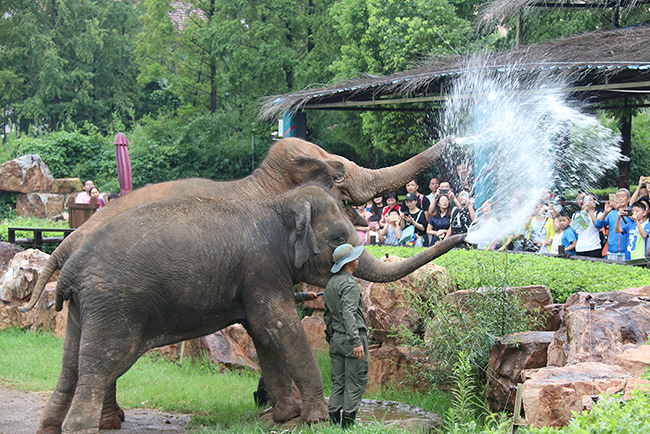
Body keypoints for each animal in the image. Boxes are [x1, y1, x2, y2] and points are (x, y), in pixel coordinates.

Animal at [36, 184, 464, 434]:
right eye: (339, 237)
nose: (462, 234)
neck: (276, 204)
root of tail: (71, 264)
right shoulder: (262, 267)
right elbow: (278, 325)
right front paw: (315, 417)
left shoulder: (256, 277)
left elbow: (262, 331)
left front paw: (286, 414)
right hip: (114, 306)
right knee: (101, 366)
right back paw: (81, 426)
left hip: (84, 310)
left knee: (71, 366)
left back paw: (51, 427)